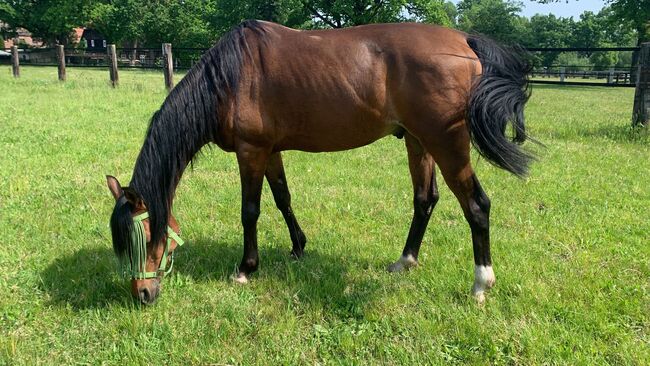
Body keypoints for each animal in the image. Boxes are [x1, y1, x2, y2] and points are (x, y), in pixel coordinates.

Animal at [107, 20, 532, 306]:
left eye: (146, 235)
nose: (142, 293)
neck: (229, 78)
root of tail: (463, 40)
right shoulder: (270, 150)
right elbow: (283, 199)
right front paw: (298, 248)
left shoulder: (251, 151)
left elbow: (250, 210)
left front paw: (246, 268)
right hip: (418, 141)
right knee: (425, 200)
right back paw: (405, 261)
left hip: (447, 143)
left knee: (476, 205)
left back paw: (481, 283)